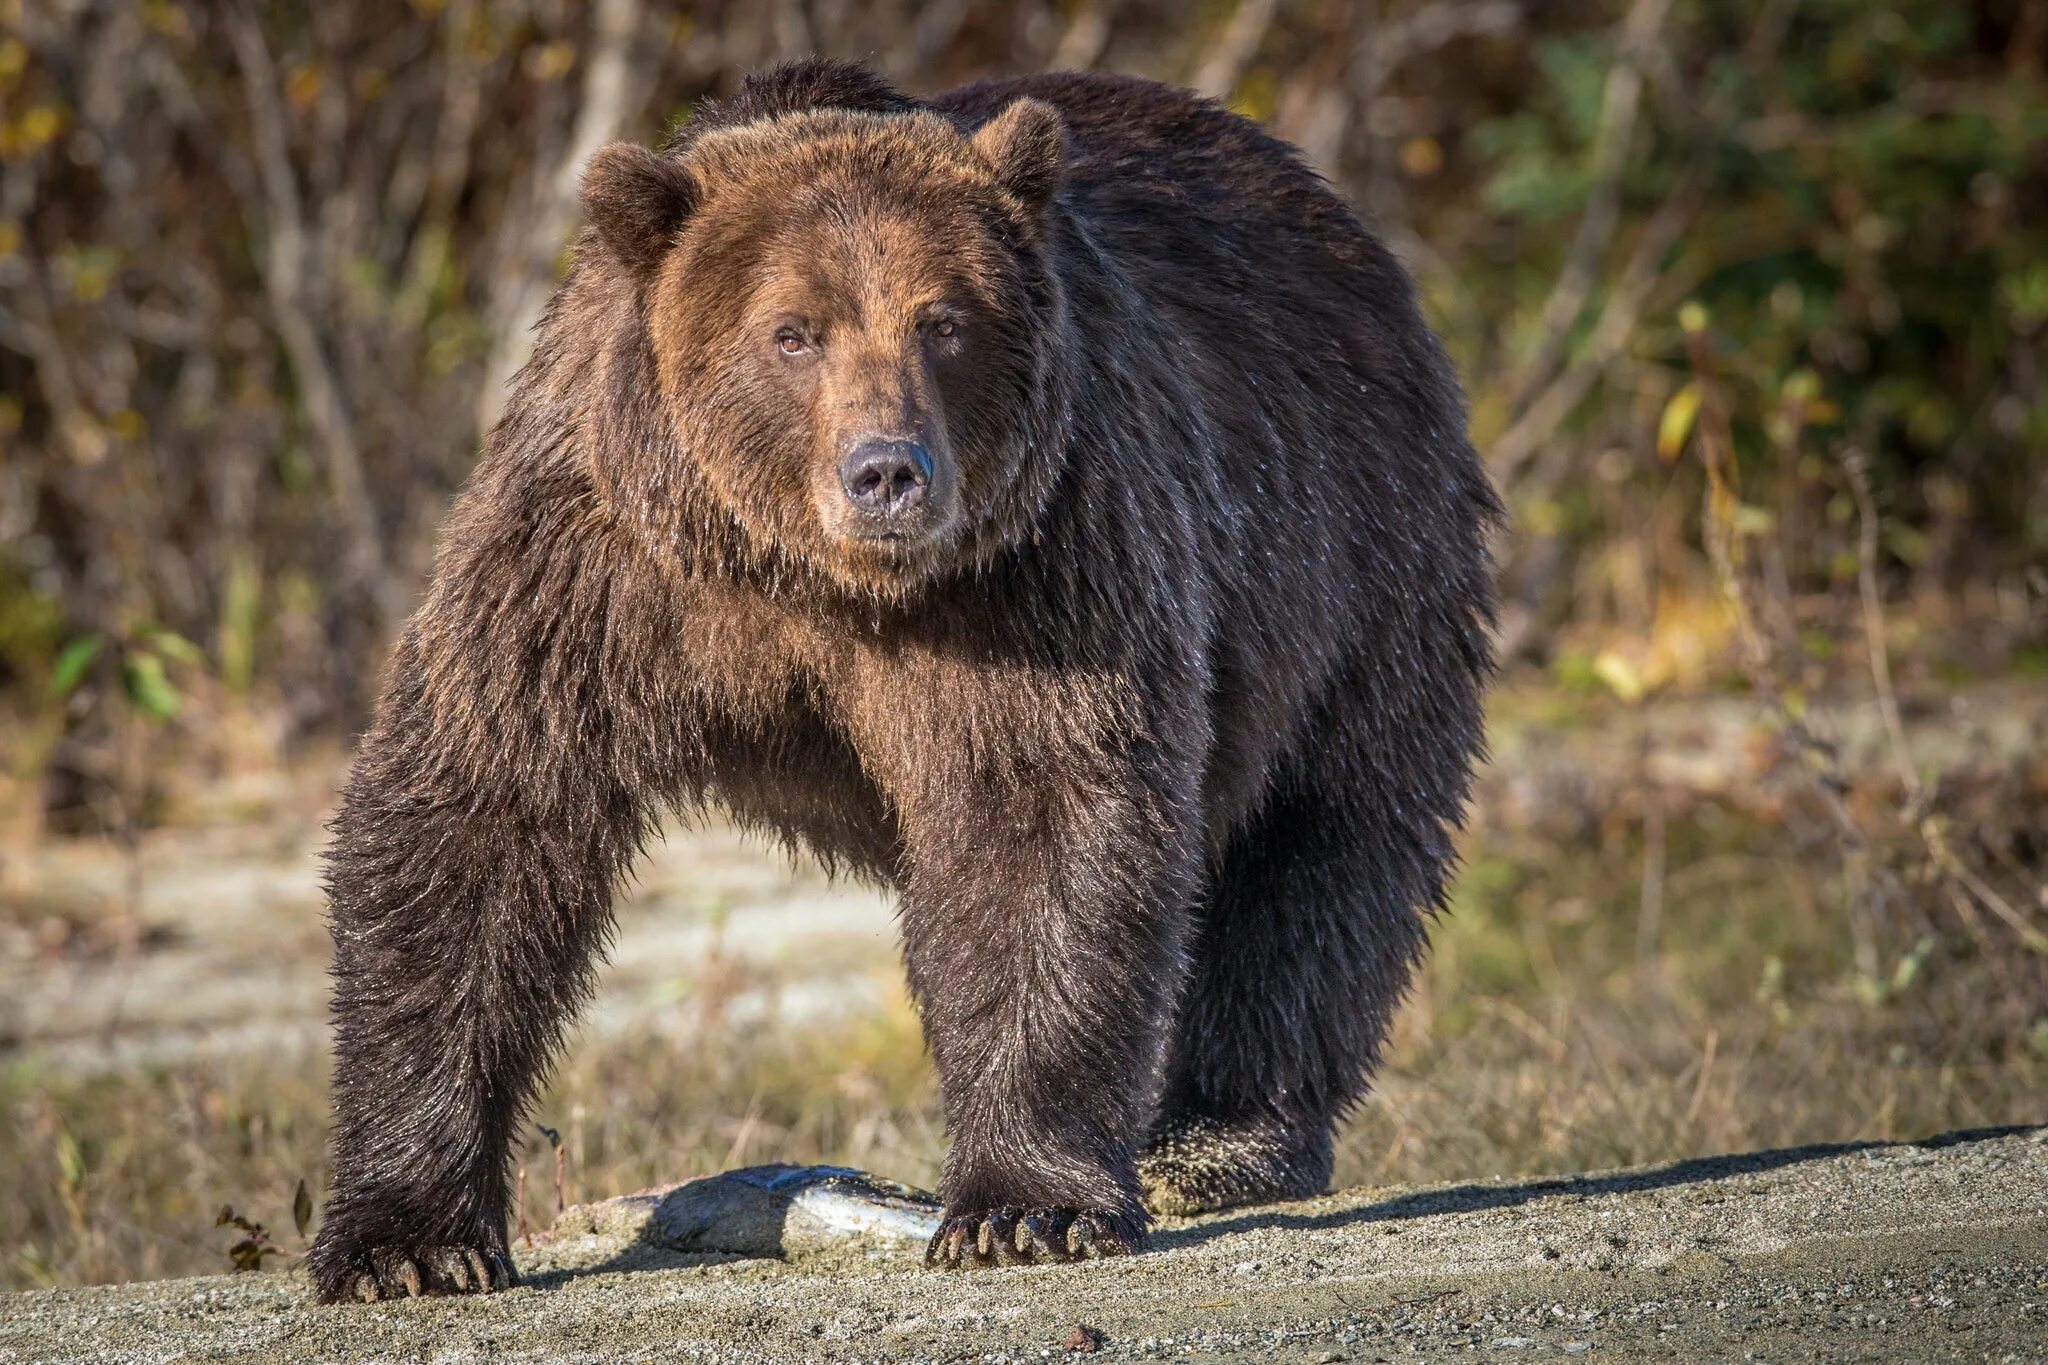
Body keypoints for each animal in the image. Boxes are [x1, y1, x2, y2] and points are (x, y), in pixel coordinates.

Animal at [303, 58, 1499, 1309]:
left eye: (943, 322)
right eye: (792, 331)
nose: (886, 470)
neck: (808, 578)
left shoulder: (1032, 569)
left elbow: (1037, 819)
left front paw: (1025, 1206)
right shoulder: (597, 560)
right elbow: (481, 811)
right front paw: (405, 1242)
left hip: (1349, 542)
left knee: (1322, 835)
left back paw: (1221, 1138)